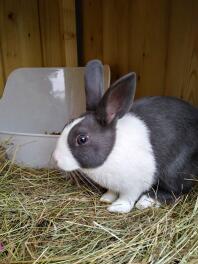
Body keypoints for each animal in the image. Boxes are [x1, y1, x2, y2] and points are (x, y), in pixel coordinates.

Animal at [53, 59, 198, 212]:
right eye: (66, 124)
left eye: (82, 139)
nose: (55, 159)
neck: (111, 152)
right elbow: (112, 191)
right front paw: (106, 198)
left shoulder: (134, 185)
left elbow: (128, 197)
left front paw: (117, 207)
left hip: (174, 171)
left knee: (175, 191)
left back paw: (145, 202)